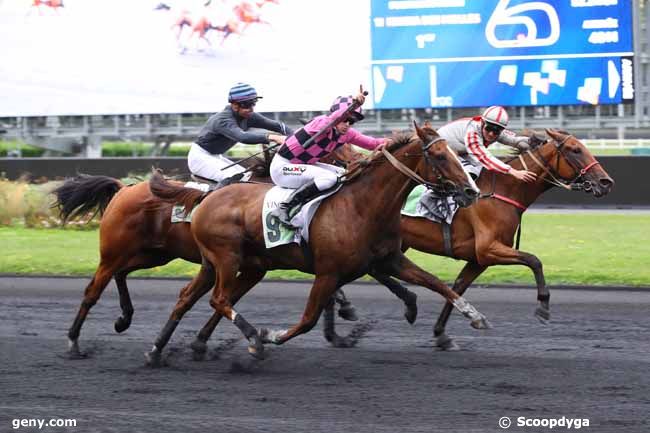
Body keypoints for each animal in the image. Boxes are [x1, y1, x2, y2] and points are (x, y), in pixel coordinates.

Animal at [144, 123, 484, 362]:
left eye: (457, 154)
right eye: (440, 156)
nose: (472, 191)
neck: (362, 205)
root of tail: (209, 194)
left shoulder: (389, 259)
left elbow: (434, 283)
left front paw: (474, 316)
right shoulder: (328, 273)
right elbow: (308, 319)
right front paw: (270, 335)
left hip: (232, 265)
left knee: (189, 297)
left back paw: (158, 351)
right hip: (227, 258)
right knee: (219, 299)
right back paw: (252, 338)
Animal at [322, 127, 612, 348]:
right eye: (575, 149)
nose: (606, 182)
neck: (504, 190)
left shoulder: (479, 259)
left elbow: (458, 286)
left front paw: (442, 334)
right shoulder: (489, 248)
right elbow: (534, 260)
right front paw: (543, 307)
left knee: (372, 271)